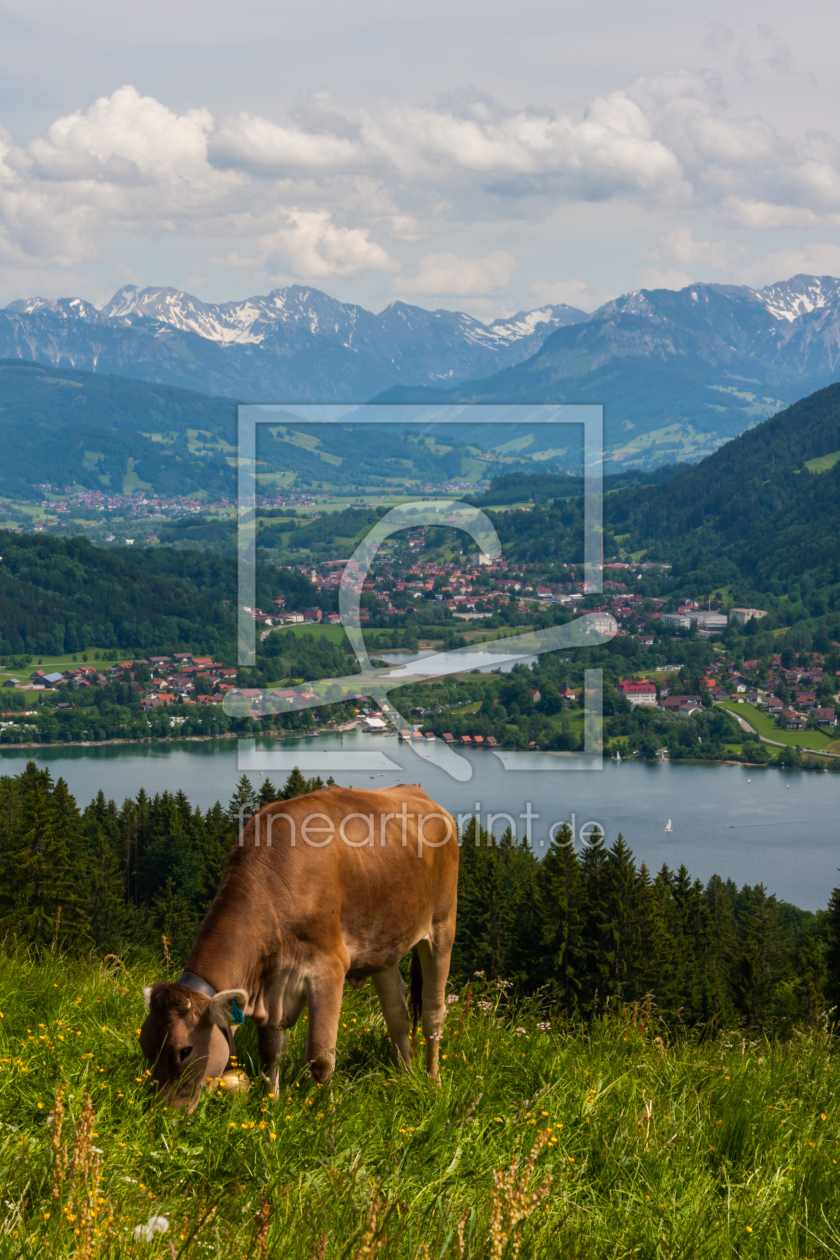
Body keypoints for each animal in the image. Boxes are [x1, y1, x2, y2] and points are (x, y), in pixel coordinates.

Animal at [138, 781, 460, 1108]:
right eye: (144, 1045)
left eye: (184, 1051)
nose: (163, 1111)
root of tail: (417, 791)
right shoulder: (271, 983)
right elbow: (270, 1054)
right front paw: (271, 1107)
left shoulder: (329, 968)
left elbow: (320, 1059)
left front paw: (327, 1114)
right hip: (384, 944)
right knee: (397, 1015)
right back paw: (405, 1077)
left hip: (442, 927)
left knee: (433, 1014)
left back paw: (433, 1081)